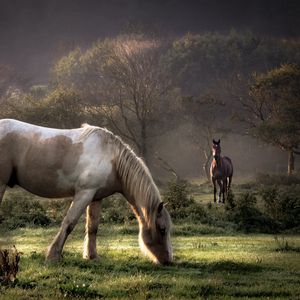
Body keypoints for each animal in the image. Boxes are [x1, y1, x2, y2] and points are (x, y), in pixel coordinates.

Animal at [0, 119, 172, 264]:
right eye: (162, 229)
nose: (168, 261)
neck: (112, 159)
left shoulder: (96, 197)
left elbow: (92, 227)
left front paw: (92, 256)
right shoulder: (84, 194)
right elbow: (69, 223)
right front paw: (53, 256)